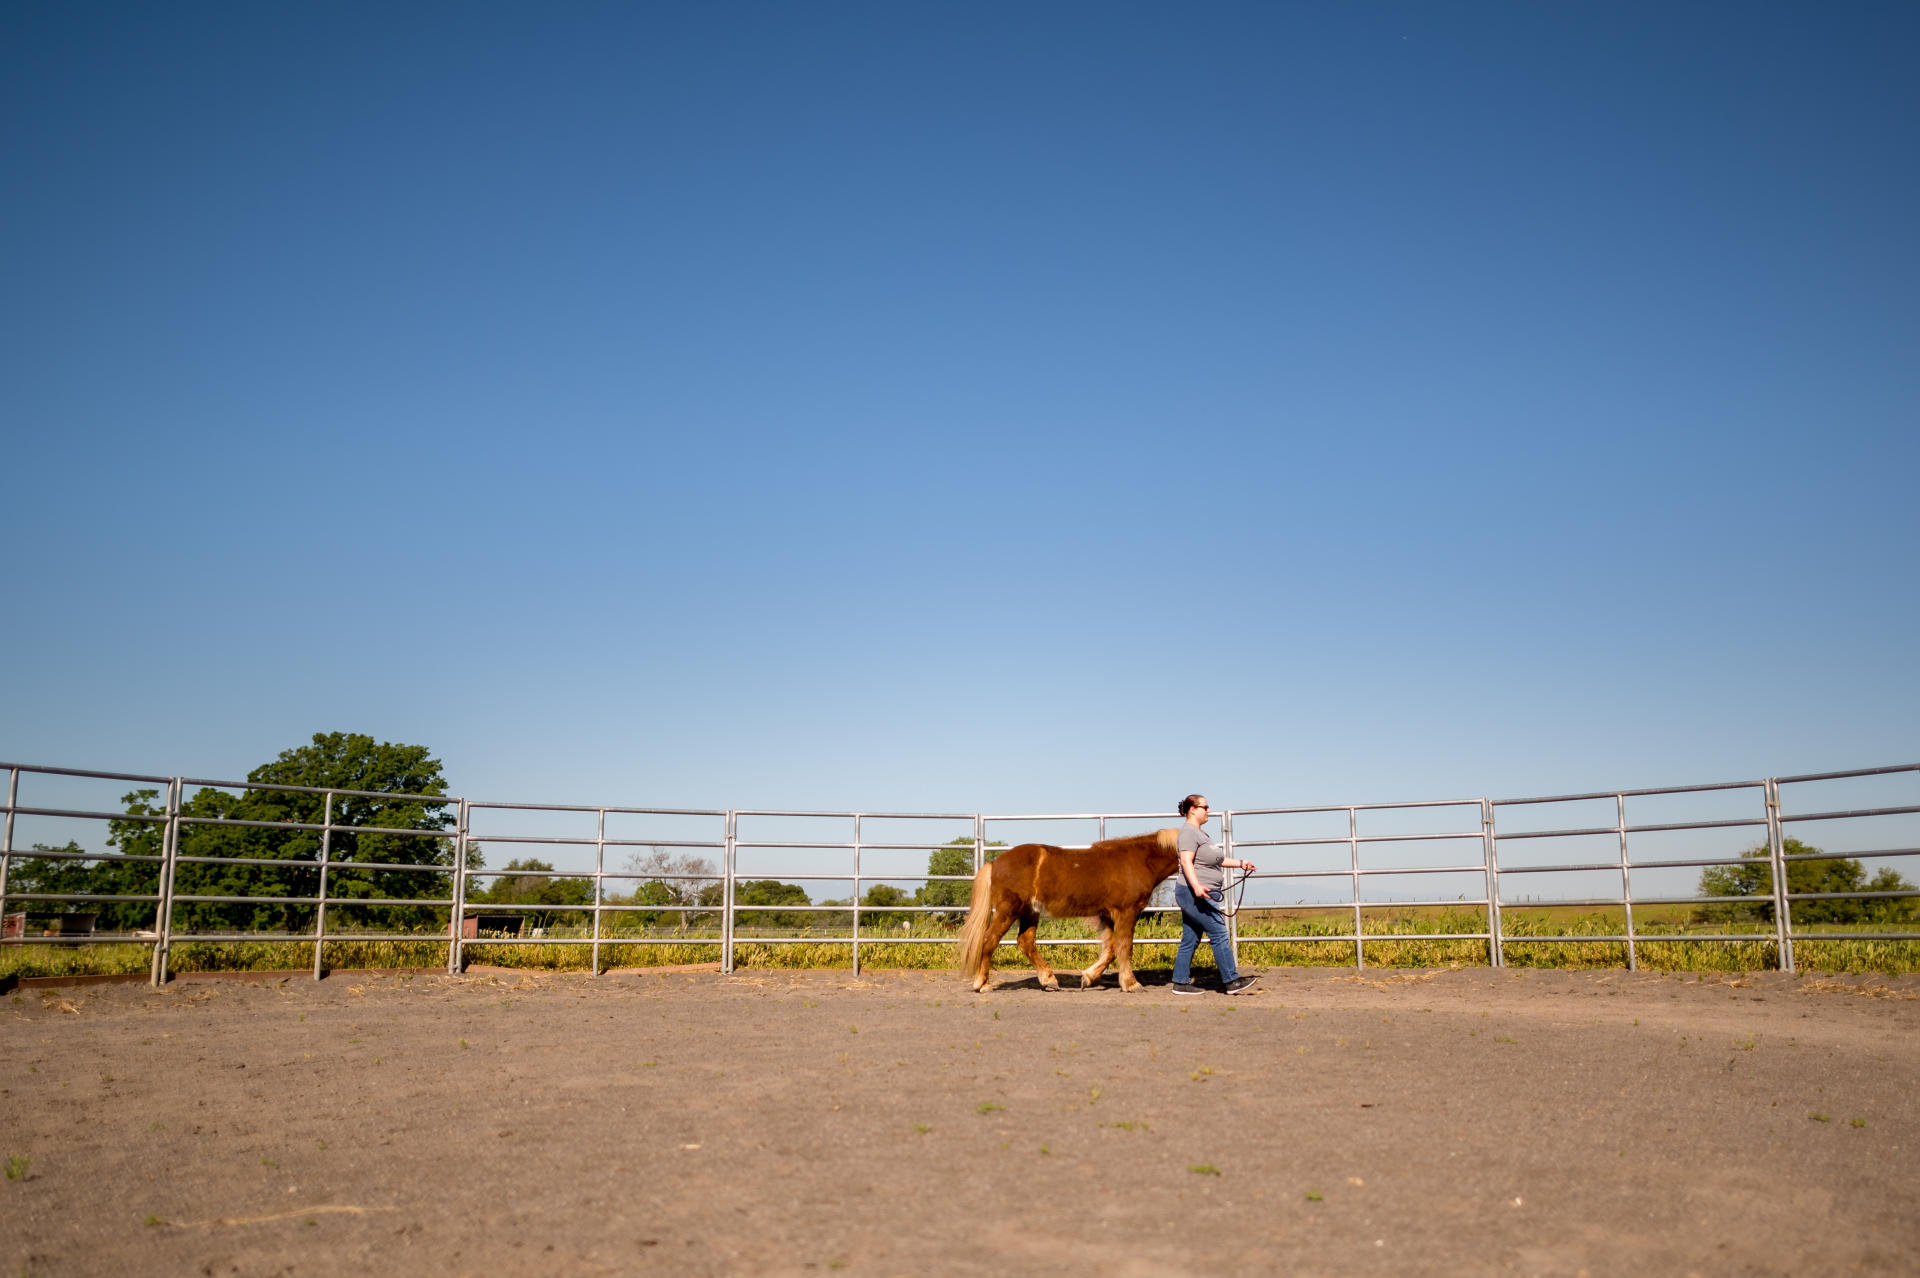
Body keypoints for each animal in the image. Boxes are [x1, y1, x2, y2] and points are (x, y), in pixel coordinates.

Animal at [952, 825, 1175, 997]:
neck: (1138, 860)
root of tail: (994, 863)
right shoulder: (1127, 912)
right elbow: (1124, 947)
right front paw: (1131, 983)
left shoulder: (1108, 915)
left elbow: (1111, 949)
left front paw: (1088, 978)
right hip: (1009, 910)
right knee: (989, 939)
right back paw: (982, 984)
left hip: (1030, 912)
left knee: (1025, 942)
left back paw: (1049, 980)